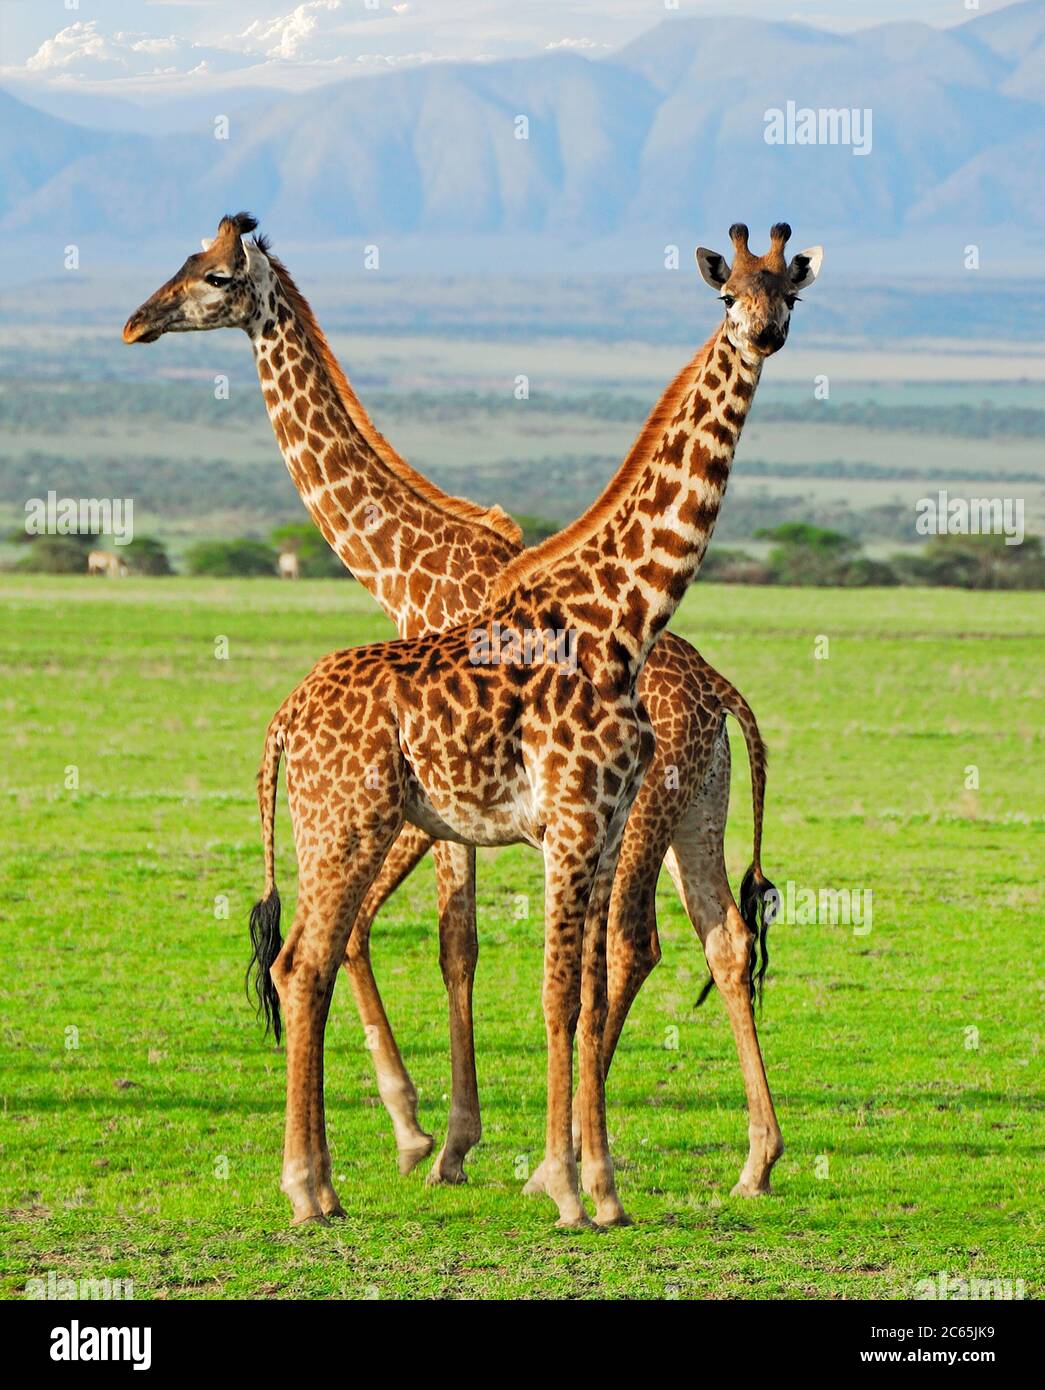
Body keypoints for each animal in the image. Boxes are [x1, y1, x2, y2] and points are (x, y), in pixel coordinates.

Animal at [122, 216, 822, 1204]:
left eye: (215, 276)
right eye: (188, 265)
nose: (136, 323)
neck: (403, 566)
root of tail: (723, 693)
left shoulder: (473, 814)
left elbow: (454, 948)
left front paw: (446, 1140)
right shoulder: (465, 811)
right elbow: (440, 945)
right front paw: (447, 1139)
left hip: (649, 814)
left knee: (632, 946)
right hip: (694, 813)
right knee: (714, 942)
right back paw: (744, 1158)